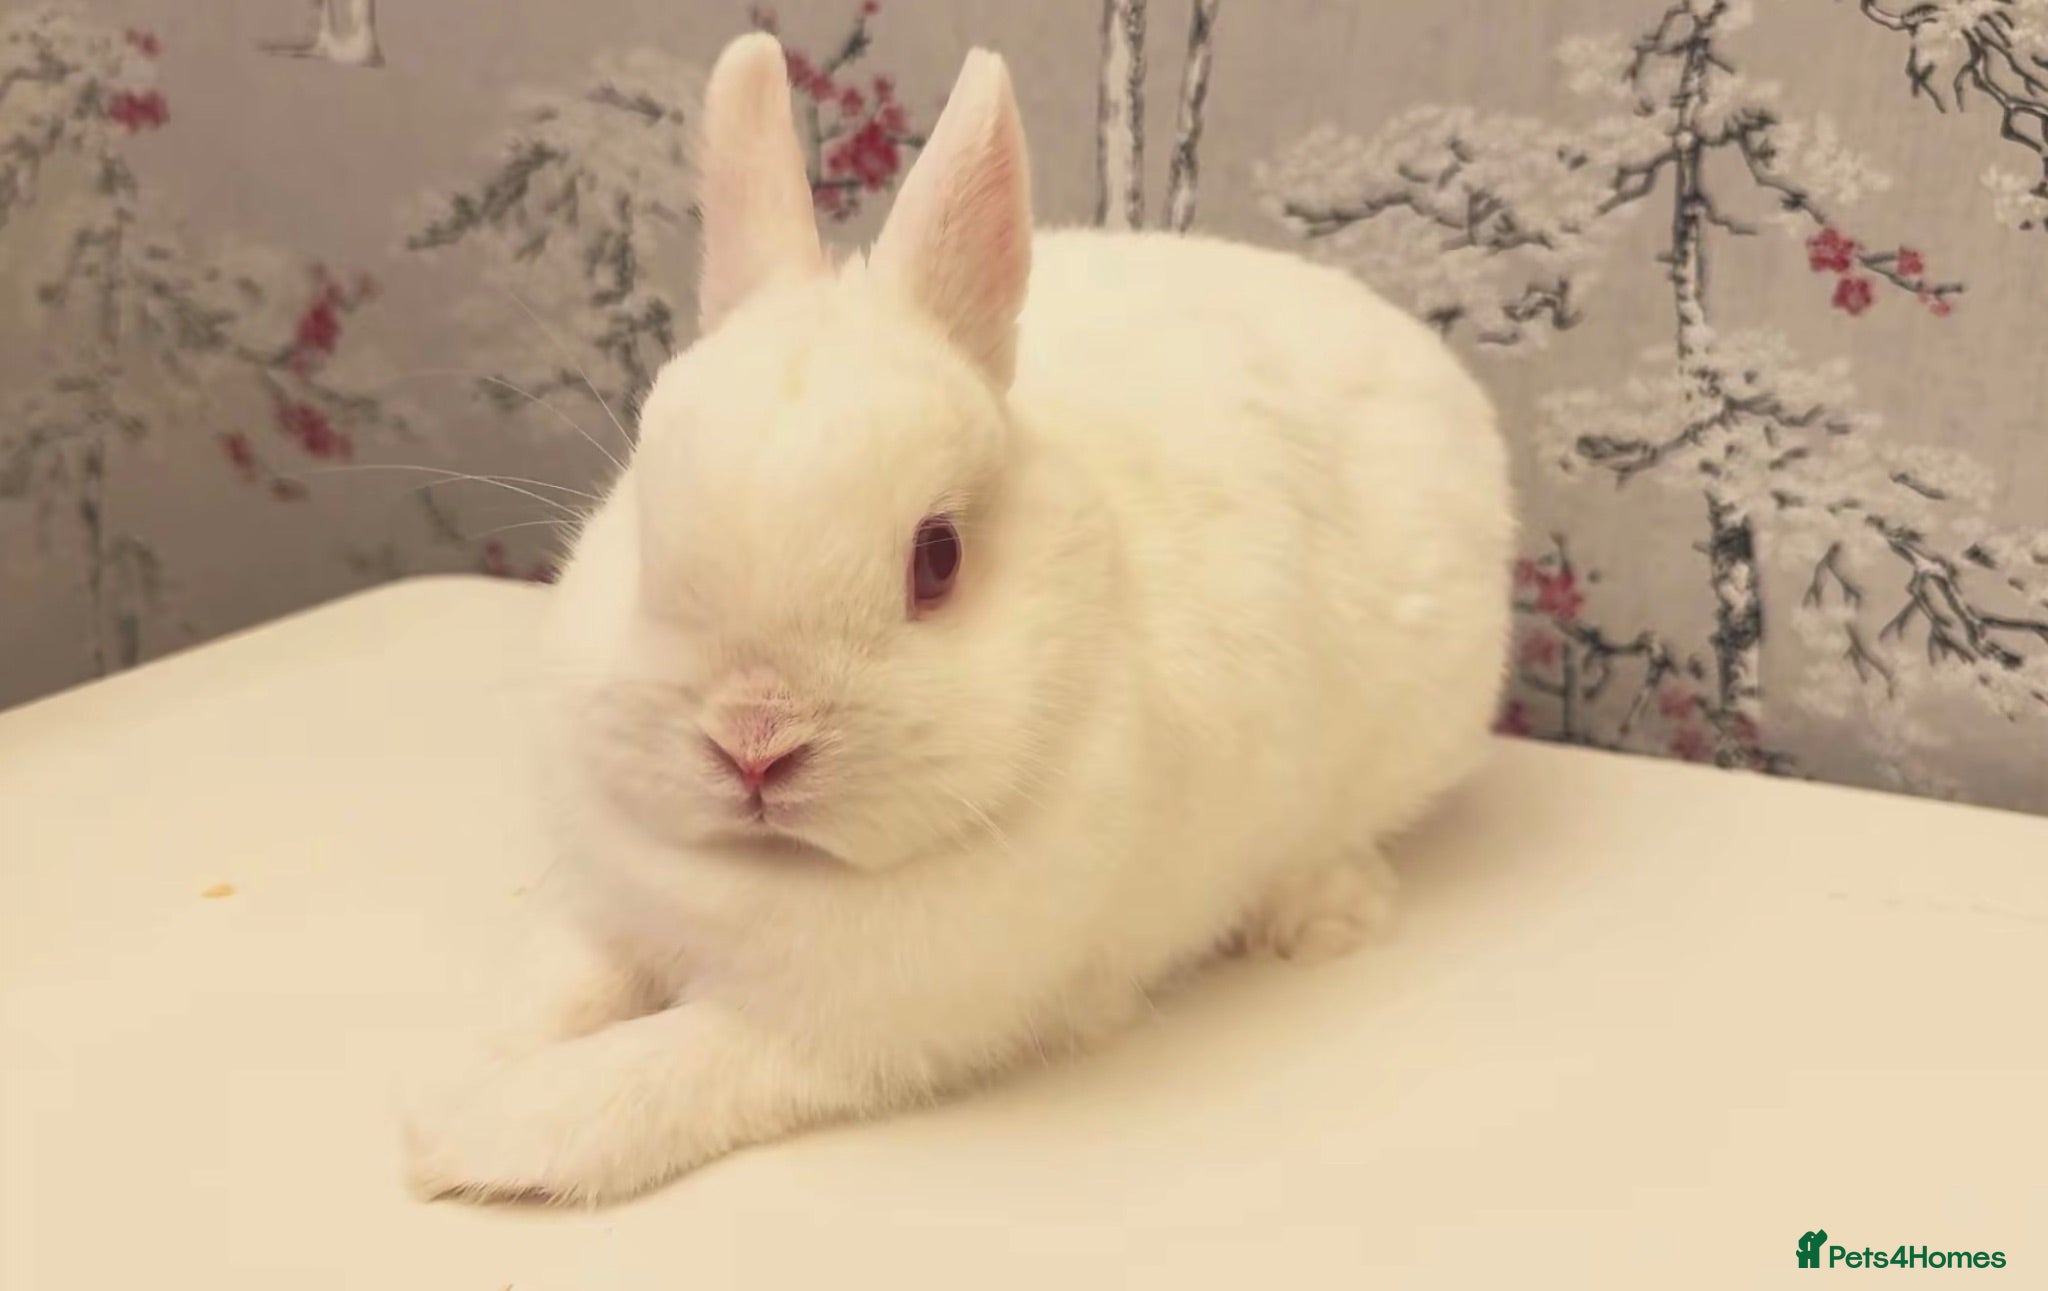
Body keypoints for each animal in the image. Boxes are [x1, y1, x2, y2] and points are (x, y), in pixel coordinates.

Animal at [400, 31, 1513, 1206]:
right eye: (646, 522)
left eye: (936, 559)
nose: (754, 742)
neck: (768, 870)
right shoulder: (608, 915)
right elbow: (555, 990)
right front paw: (460, 1069)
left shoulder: (832, 1037)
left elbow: (657, 1073)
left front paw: (468, 1131)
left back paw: (1320, 917)